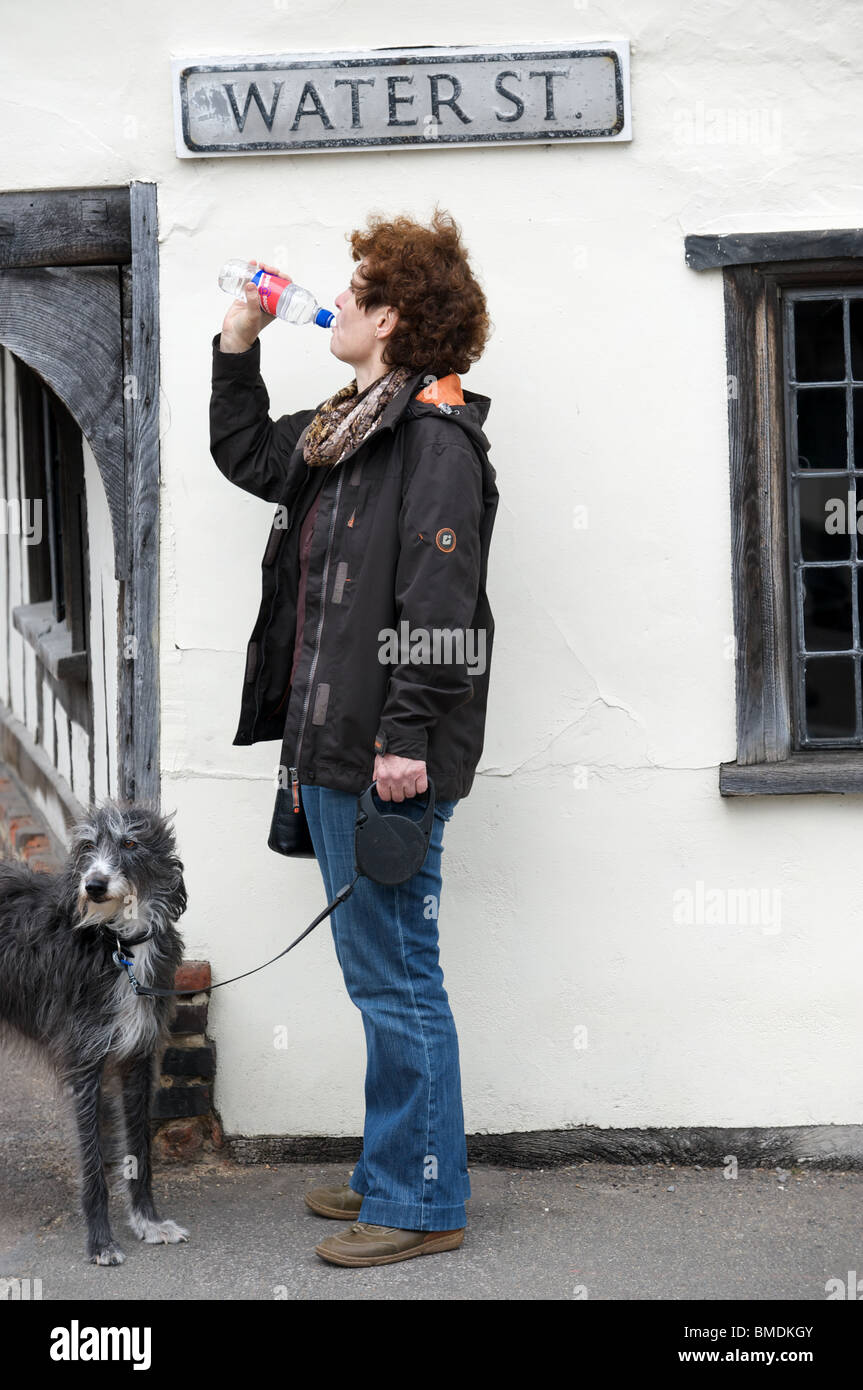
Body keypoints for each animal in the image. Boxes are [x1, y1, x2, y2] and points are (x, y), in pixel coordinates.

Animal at [0, 800, 188, 1267]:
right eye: (87, 846)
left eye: (130, 843)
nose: (95, 885)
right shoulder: (83, 1062)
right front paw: (101, 1241)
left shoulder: (139, 1057)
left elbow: (138, 1147)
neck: (119, 945)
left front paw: (148, 1221)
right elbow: (91, 1162)